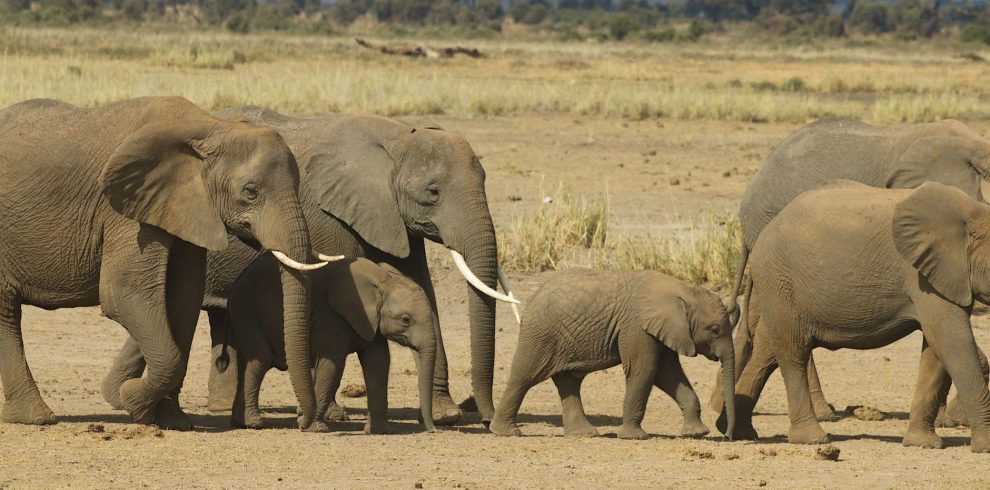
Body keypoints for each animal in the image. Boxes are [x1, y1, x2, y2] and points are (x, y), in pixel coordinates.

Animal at [0, 97, 329, 431]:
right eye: (250, 191)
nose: (306, 423)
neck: (210, 127)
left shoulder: (185, 208)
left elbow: (183, 300)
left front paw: (173, 421)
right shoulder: (126, 209)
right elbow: (124, 292)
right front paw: (133, 402)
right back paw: (37, 418)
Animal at [224, 255, 437, 433]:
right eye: (406, 320)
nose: (433, 430)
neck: (382, 280)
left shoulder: (371, 322)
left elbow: (378, 362)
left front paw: (379, 431)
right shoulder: (332, 316)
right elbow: (331, 364)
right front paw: (314, 428)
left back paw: (240, 421)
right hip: (246, 310)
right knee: (260, 361)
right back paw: (253, 423)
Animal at [489, 270, 736, 440]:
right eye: (714, 330)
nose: (727, 436)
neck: (682, 290)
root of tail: (533, 296)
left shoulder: (662, 330)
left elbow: (668, 374)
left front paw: (696, 434)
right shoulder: (636, 327)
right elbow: (644, 370)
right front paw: (634, 437)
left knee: (568, 381)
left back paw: (584, 434)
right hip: (540, 334)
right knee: (524, 377)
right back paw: (506, 432)